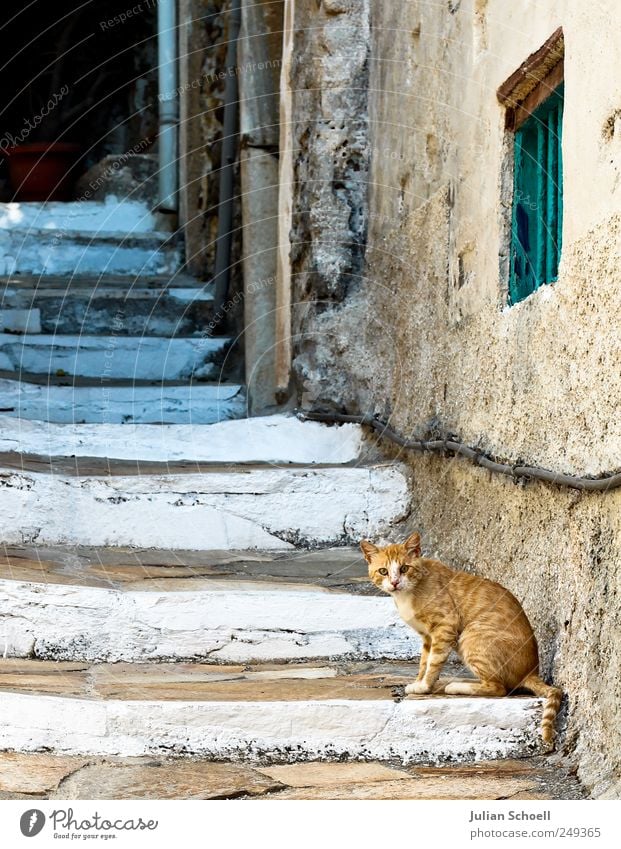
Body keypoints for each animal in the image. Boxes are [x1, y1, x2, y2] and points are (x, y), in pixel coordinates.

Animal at [358, 536, 560, 744]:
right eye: (383, 571)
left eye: (404, 568)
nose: (395, 582)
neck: (407, 594)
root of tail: (532, 671)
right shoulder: (428, 637)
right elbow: (424, 663)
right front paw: (419, 682)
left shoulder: (445, 627)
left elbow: (433, 662)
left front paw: (425, 686)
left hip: (470, 637)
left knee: (498, 688)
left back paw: (457, 686)